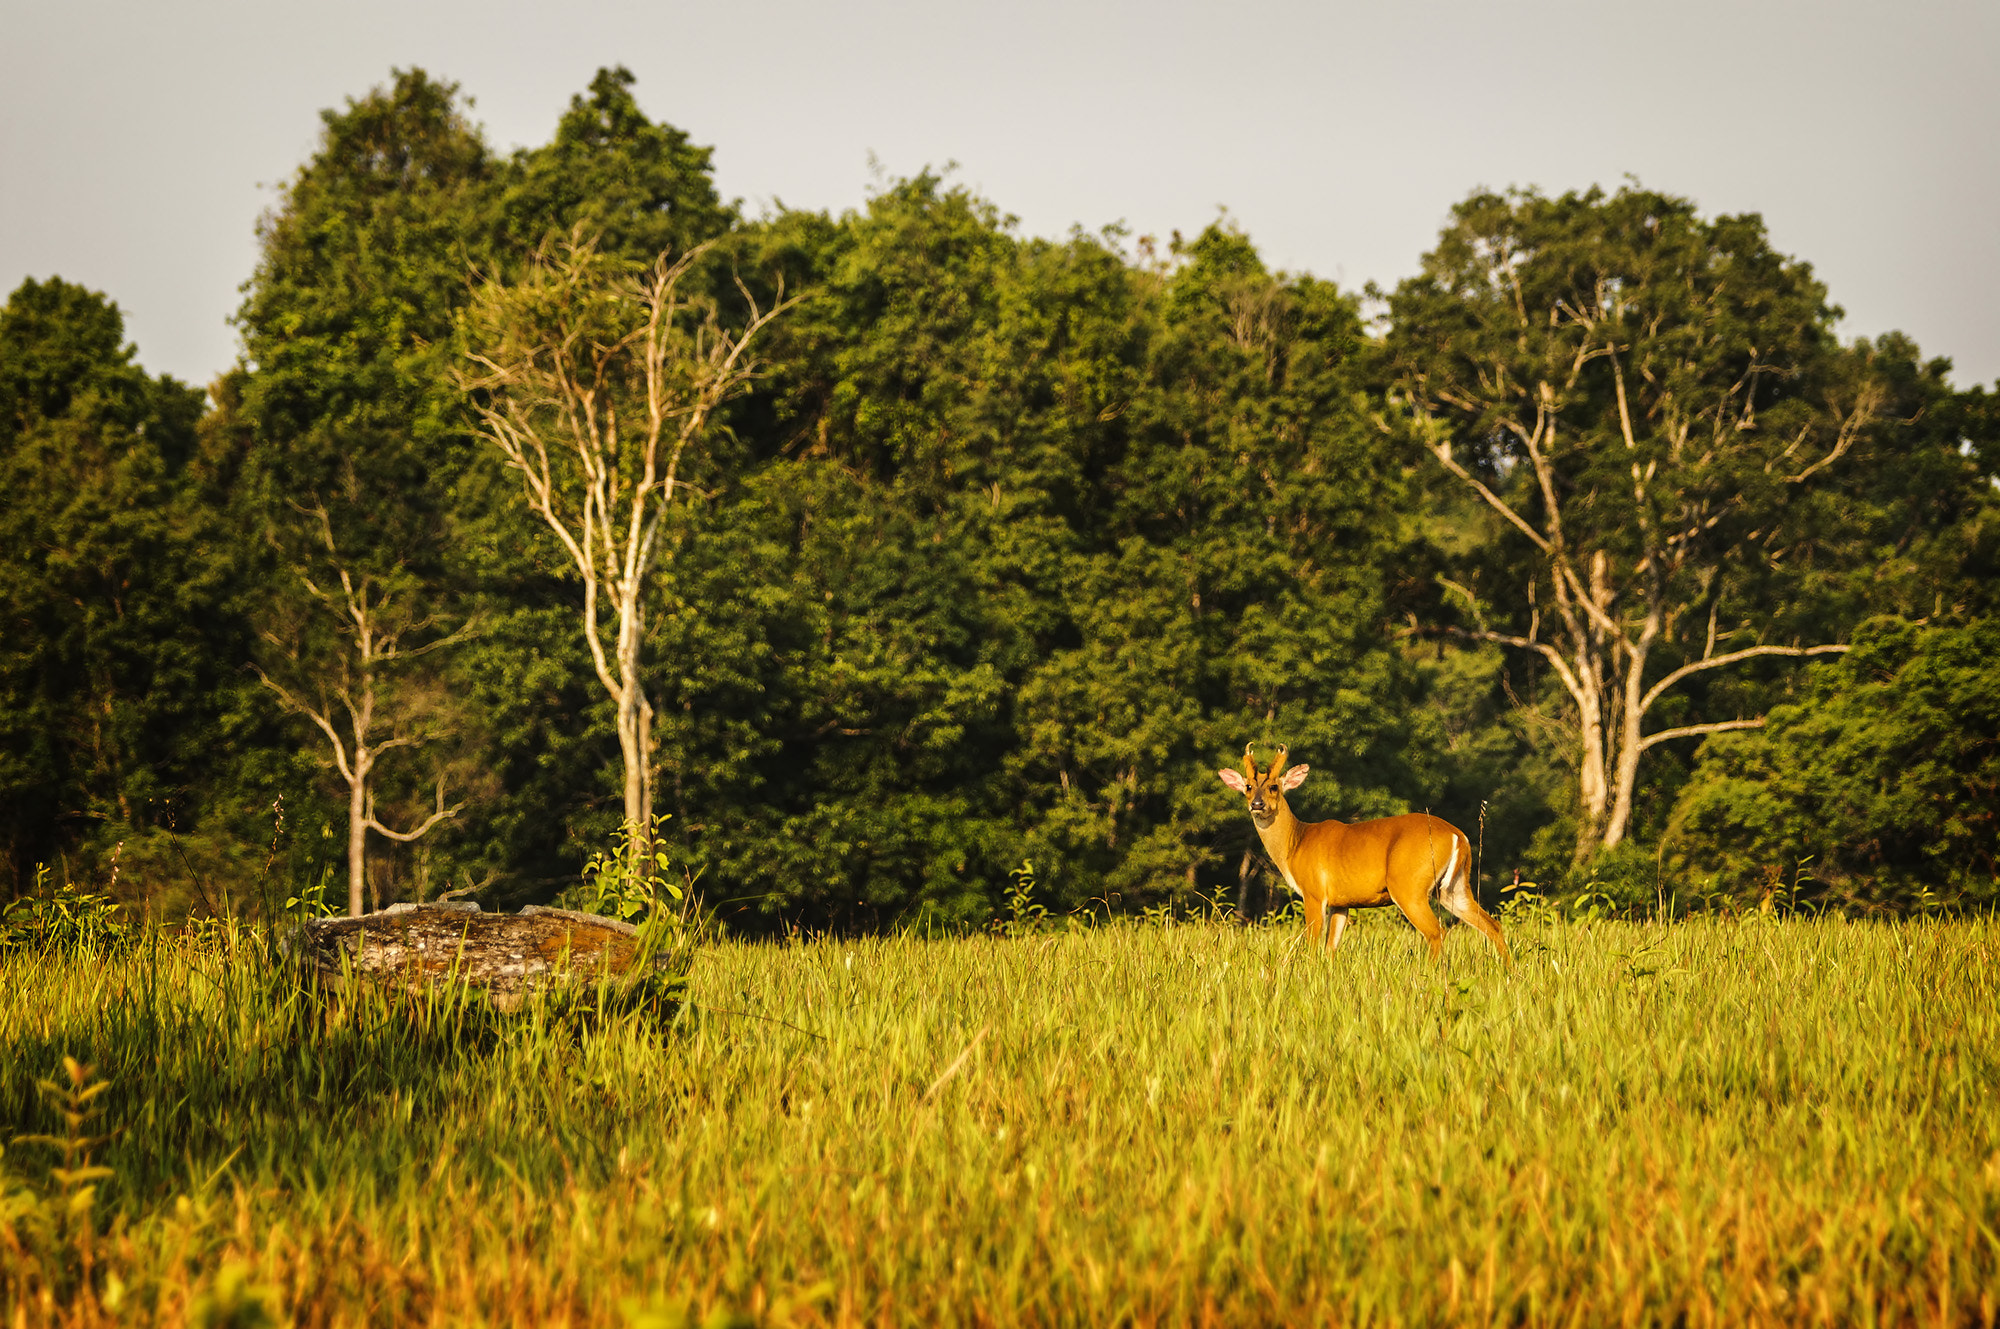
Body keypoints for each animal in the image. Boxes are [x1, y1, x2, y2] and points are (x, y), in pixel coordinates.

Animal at [1208, 740, 1504, 960]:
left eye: (1273, 787)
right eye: (1248, 786)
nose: (1257, 804)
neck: (1296, 843)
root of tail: (1459, 836)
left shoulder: (1314, 891)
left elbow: (1313, 944)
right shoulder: (1342, 902)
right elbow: (1331, 948)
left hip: (1409, 885)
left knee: (1436, 932)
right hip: (1453, 887)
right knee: (1492, 924)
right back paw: (1507, 972)